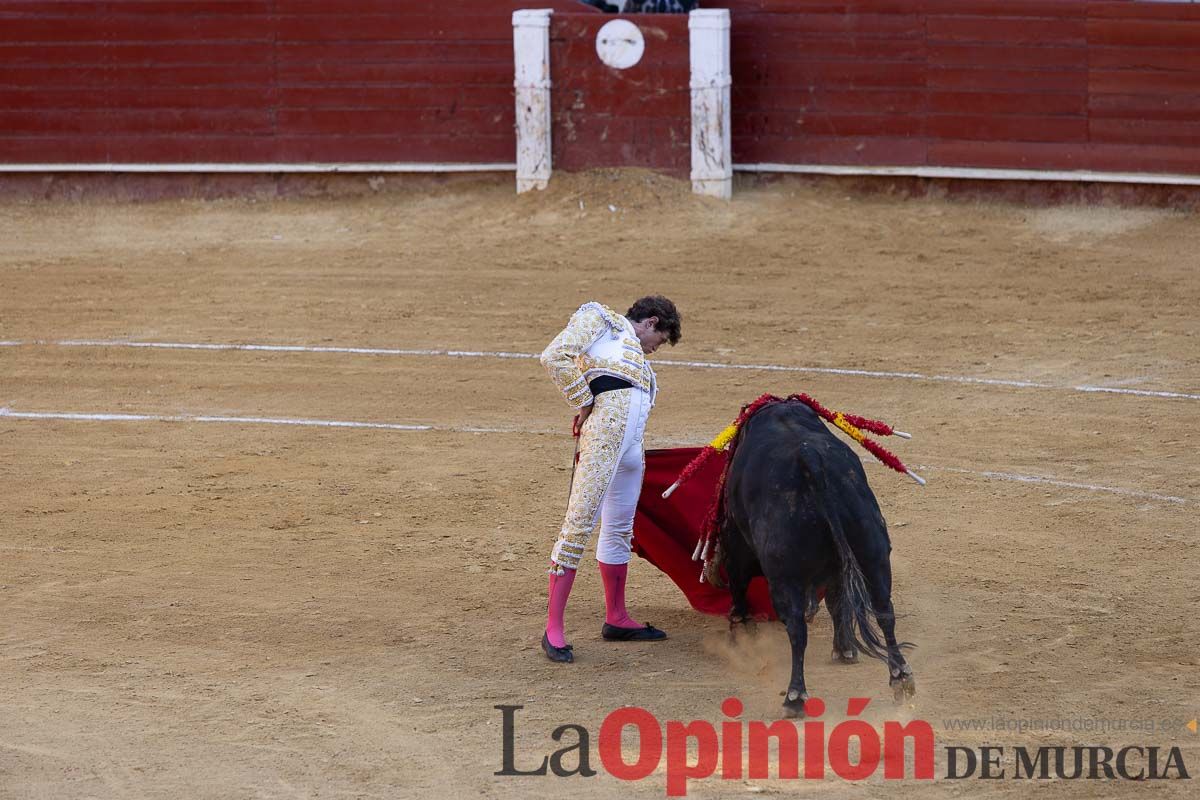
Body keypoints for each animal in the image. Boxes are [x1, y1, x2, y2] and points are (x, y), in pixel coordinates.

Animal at [715, 402, 912, 714]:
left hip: (784, 577)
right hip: (874, 556)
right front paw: (845, 650)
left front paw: (741, 631)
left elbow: (738, 579)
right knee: (884, 611)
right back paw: (900, 677)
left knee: (797, 629)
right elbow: (837, 602)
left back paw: (794, 697)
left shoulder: (736, 541)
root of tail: (810, 459)